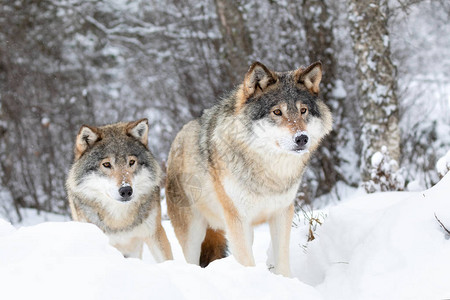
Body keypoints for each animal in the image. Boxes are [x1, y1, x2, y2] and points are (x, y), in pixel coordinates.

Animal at [165, 61, 330, 276]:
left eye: (303, 111)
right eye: (277, 112)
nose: (302, 138)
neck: (269, 172)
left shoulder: (282, 213)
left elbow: (282, 261)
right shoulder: (237, 220)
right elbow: (246, 262)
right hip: (194, 232)